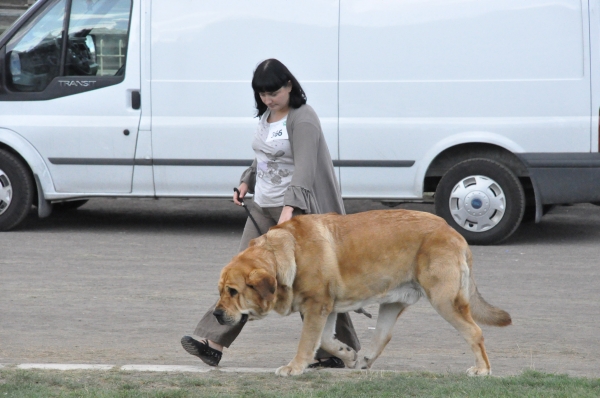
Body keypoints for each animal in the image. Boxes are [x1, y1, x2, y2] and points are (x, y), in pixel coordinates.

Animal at [213, 208, 508, 376]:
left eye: (233, 291)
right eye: (220, 291)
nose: (216, 314)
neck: (287, 254)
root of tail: (453, 232)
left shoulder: (317, 306)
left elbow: (307, 342)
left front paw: (294, 367)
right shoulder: (326, 308)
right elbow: (326, 340)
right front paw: (346, 354)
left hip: (445, 300)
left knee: (474, 332)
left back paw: (483, 369)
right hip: (393, 303)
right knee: (382, 336)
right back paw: (364, 360)